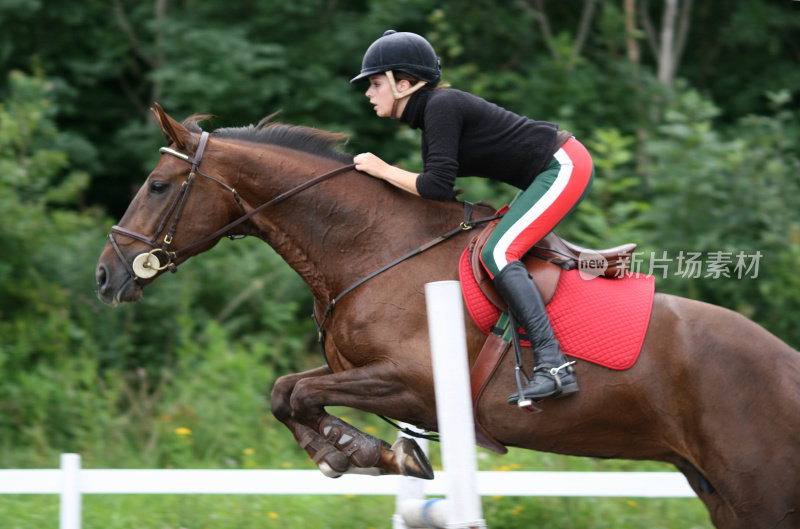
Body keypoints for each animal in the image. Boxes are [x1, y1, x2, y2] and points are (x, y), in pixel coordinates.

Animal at [95, 104, 800, 528]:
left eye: (157, 186)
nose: (106, 276)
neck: (373, 247)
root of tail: (787, 363)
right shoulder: (364, 374)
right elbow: (286, 391)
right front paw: (359, 453)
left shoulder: (416, 384)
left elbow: (296, 393)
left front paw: (365, 452)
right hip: (719, 491)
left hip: (759, 488)